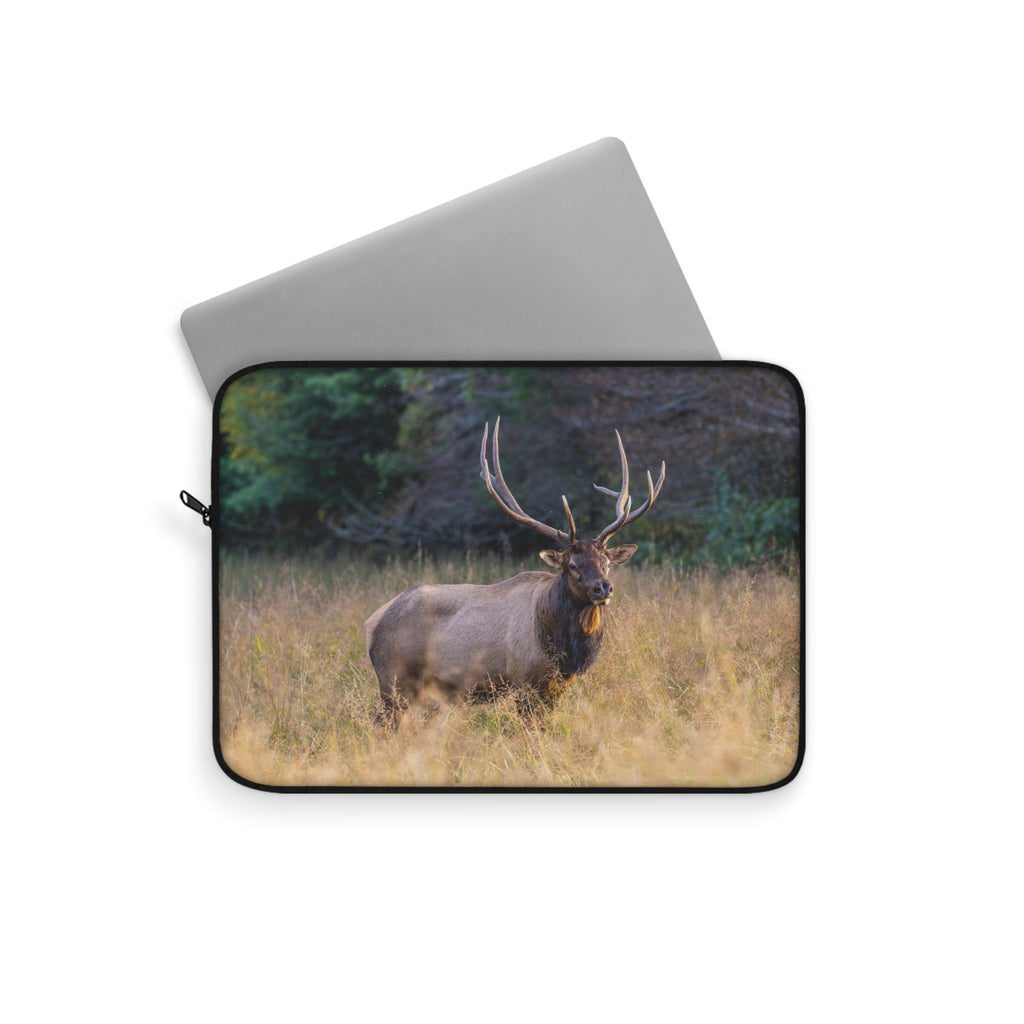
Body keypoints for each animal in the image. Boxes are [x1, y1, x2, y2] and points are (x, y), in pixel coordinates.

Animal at [364, 418, 665, 726]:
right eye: (572, 565)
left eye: (606, 562)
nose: (603, 587)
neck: (561, 645)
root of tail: (372, 623)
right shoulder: (524, 682)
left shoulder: (556, 686)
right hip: (394, 679)